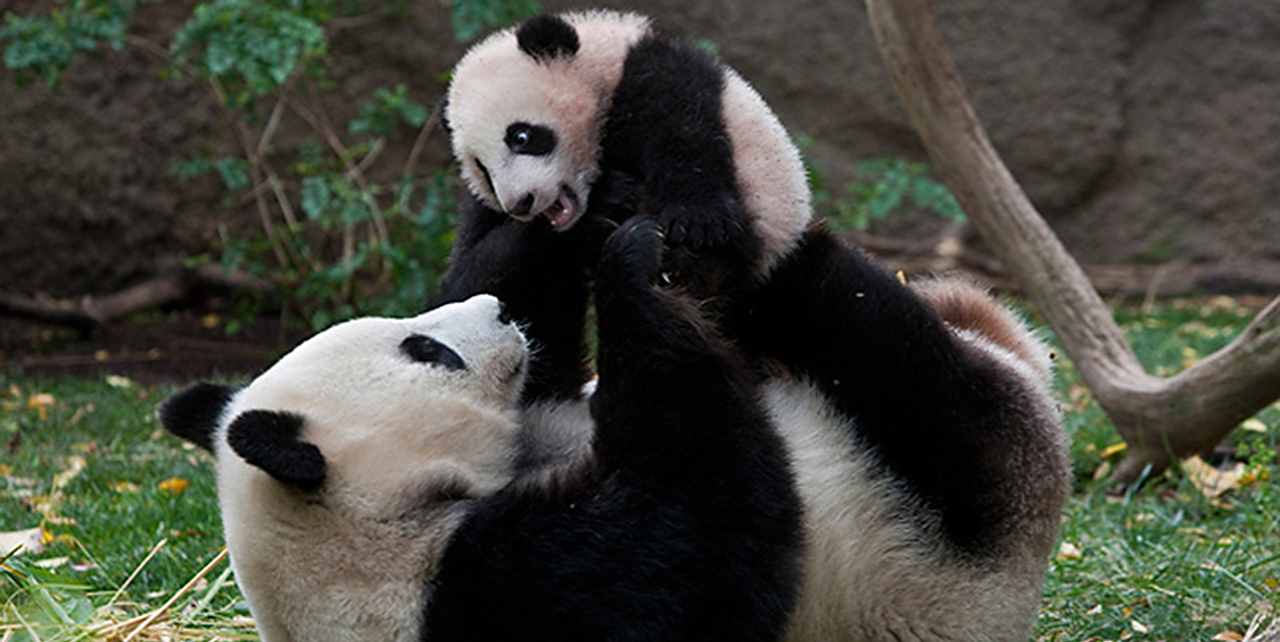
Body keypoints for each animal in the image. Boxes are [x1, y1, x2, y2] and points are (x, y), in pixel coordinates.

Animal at [440, 11, 1070, 642]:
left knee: (878, 346)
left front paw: (685, 223)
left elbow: (685, 137)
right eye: (482, 170)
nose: (523, 202)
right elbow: (484, 292)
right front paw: (585, 226)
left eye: (523, 136)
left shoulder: (661, 83)